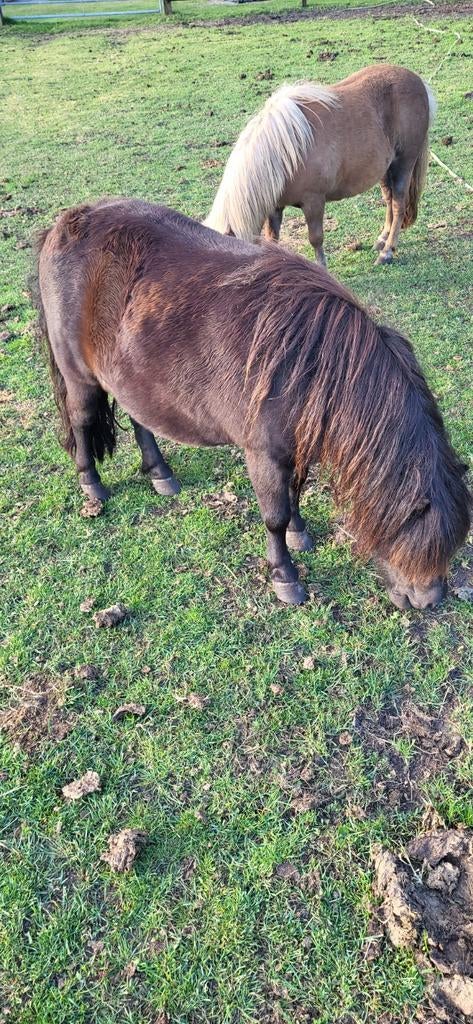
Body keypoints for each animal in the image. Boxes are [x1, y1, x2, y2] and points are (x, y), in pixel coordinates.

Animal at [34, 199, 470, 610]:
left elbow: (294, 493)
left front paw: (300, 534)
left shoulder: (294, 448)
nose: (429, 600)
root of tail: (63, 224)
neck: (311, 362)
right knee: (80, 422)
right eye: (420, 542)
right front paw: (285, 577)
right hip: (80, 378)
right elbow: (274, 516)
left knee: (141, 420)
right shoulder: (263, 453)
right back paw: (92, 485)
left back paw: (161, 474)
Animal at [204, 64, 436, 266]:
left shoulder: (314, 201)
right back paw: (381, 240)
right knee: (389, 200)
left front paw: (322, 267)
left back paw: (387, 252)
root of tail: (418, 82)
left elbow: (315, 238)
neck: (284, 151)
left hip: (404, 163)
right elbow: (272, 239)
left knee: (398, 204)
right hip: (385, 170)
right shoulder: (274, 206)